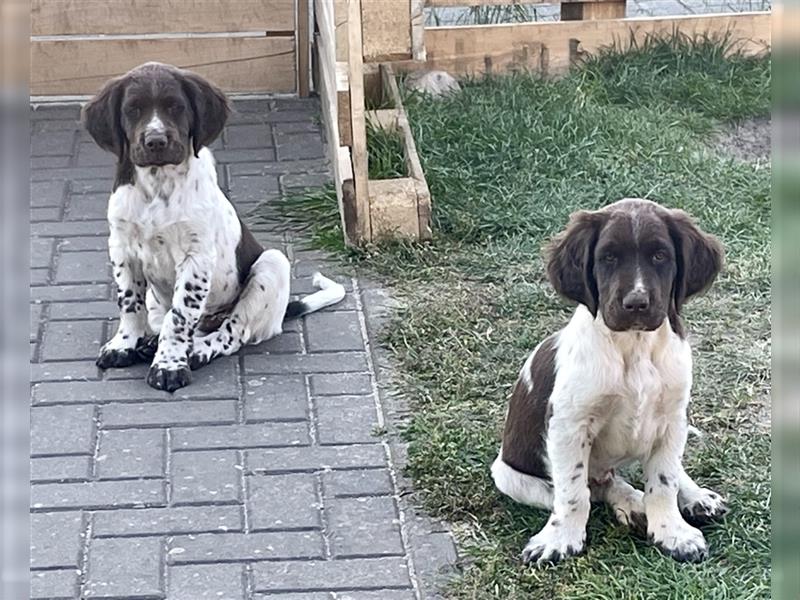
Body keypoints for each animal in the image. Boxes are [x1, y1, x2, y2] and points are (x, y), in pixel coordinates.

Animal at [83, 63, 344, 394]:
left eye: (176, 107)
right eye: (132, 109)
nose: (156, 141)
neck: (158, 184)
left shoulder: (195, 258)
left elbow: (180, 316)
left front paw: (169, 366)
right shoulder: (122, 249)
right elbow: (130, 303)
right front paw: (123, 345)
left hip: (271, 264)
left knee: (231, 334)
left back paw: (197, 350)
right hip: (158, 297)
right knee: (165, 318)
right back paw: (150, 343)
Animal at [490, 199, 728, 564]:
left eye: (660, 255)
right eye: (608, 257)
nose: (636, 303)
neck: (634, 346)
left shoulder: (673, 417)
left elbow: (664, 481)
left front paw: (673, 533)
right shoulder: (569, 425)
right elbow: (573, 492)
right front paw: (560, 540)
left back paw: (694, 497)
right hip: (509, 476)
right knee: (596, 487)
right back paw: (633, 504)